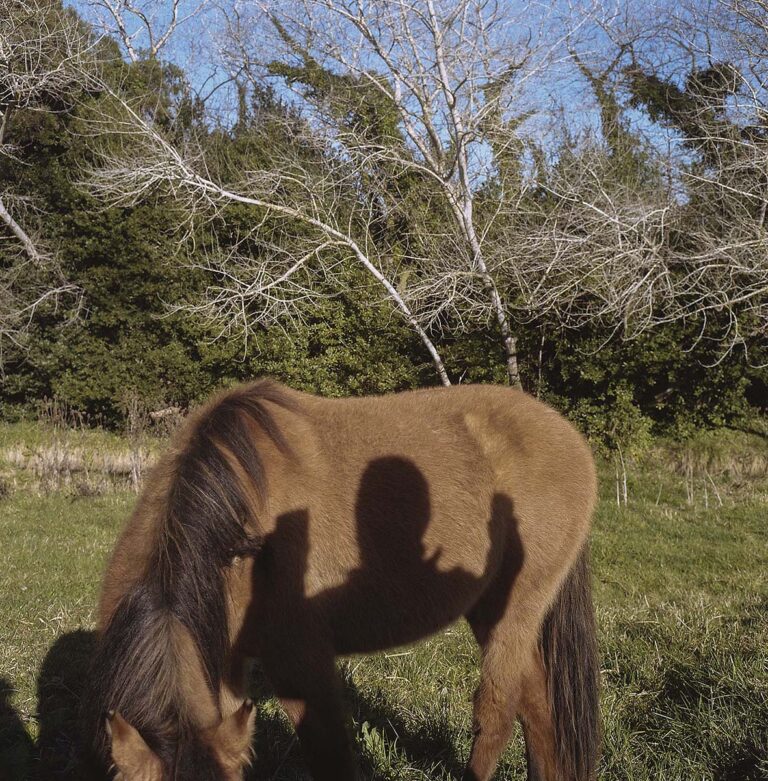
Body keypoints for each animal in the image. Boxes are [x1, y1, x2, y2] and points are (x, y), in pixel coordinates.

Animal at [84, 378, 600, 780]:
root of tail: (567, 436)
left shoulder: (303, 667)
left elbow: (331, 757)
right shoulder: (225, 669)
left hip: (518, 609)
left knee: (497, 713)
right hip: (490, 609)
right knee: (538, 708)